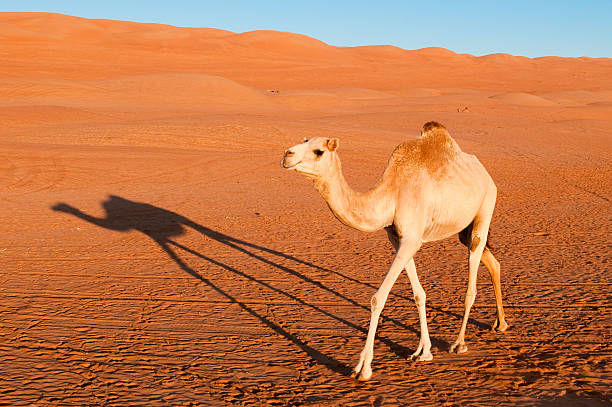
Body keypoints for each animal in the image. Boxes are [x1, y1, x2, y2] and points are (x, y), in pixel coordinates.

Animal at [280, 122, 506, 382]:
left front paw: (363, 367)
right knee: (492, 261)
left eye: (318, 151)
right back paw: (501, 323)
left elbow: (378, 298)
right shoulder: (399, 239)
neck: (392, 193)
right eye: (303, 141)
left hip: (485, 208)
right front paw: (423, 351)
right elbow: (419, 294)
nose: (287, 155)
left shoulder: (411, 240)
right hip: (464, 230)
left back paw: (459, 343)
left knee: (472, 280)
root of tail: (485, 173)